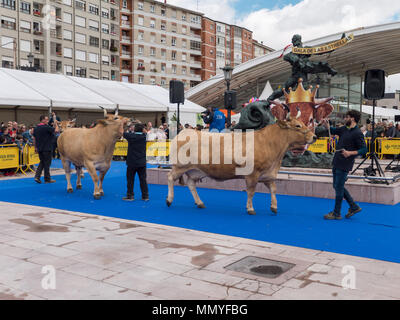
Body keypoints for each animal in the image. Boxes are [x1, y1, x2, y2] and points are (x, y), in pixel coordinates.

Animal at [166, 112, 316, 215]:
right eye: (298, 125)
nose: (314, 136)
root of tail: (184, 132)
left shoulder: (268, 174)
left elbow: (273, 189)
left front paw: (274, 206)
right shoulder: (253, 174)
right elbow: (251, 191)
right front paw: (250, 208)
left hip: (195, 170)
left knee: (191, 184)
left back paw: (200, 203)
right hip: (180, 166)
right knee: (170, 177)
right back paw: (169, 200)